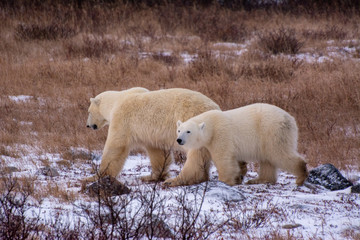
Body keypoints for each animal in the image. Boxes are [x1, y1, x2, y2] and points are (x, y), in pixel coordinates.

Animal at [84, 87, 221, 185]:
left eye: (89, 112)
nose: (88, 125)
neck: (117, 101)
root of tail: (216, 108)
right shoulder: (151, 134)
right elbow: (158, 152)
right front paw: (151, 176)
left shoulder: (123, 118)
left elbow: (116, 146)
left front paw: (94, 177)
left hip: (194, 127)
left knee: (195, 156)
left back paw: (176, 180)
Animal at [170, 102, 308, 186]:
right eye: (179, 130)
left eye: (188, 131)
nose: (179, 140)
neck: (211, 125)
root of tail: (291, 119)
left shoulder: (221, 134)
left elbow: (223, 158)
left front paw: (225, 181)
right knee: (268, 159)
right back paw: (258, 180)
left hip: (272, 130)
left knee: (279, 153)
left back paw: (300, 177)